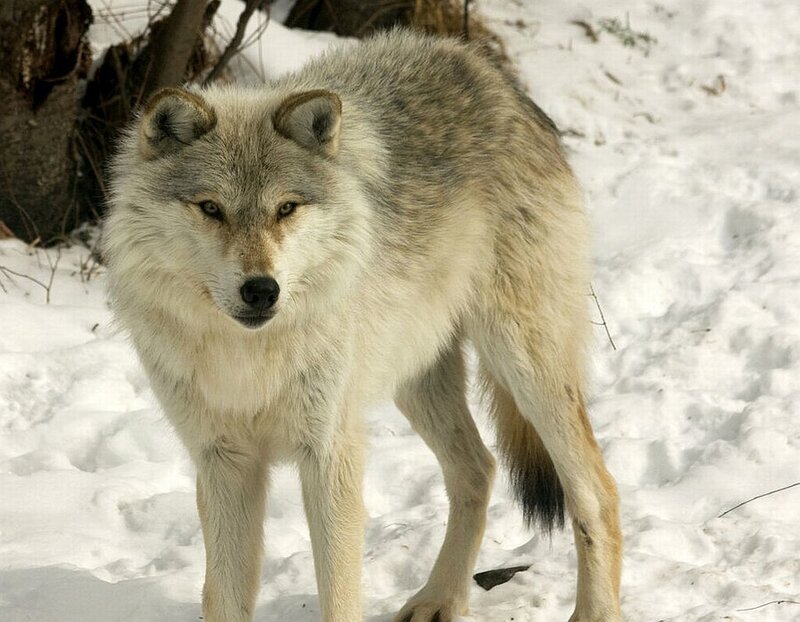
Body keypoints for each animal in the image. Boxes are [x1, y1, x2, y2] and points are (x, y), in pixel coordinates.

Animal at [102, 29, 622, 622]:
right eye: (211, 208)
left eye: (286, 208)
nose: (261, 290)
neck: (248, 355)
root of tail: (489, 71)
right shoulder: (224, 463)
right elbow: (224, 598)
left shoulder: (330, 452)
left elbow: (339, 595)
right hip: (416, 379)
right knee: (480, 469)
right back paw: (439, 599)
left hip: (523, 366)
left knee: (597, 491)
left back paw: (592, 609)